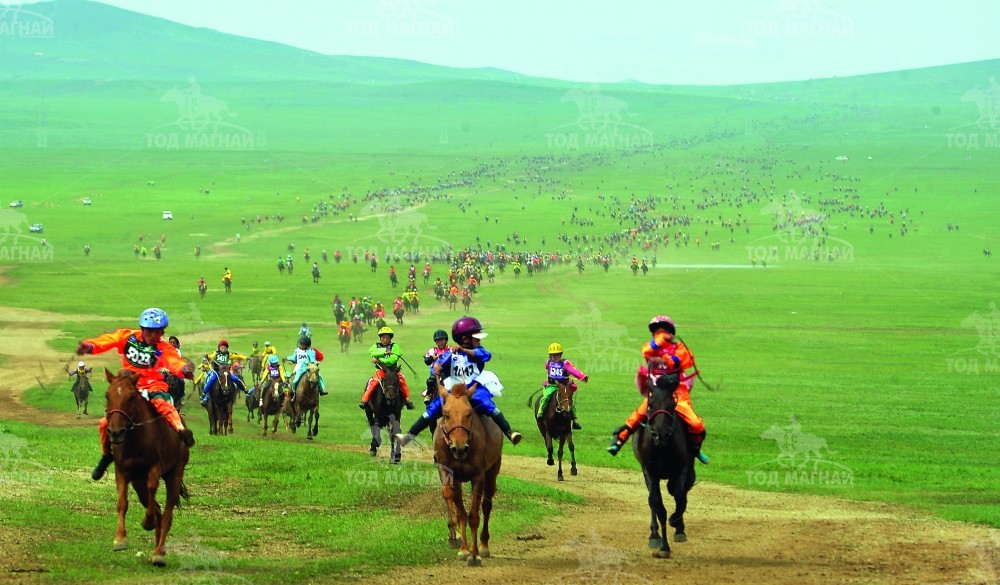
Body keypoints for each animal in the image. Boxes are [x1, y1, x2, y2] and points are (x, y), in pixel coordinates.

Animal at [101, 368, 190, 566]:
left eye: (131, 397)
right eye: (107, 395)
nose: (116, 432)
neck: (135, 440)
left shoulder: (154, 468)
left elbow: (152, 493)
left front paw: (147, 522)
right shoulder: (122, 471)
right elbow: (122, 503)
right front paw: (119, 540)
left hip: (175, 474)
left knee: (166, 514)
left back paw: (159, 553)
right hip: (137, 481)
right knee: (156, 509)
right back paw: (158, 550)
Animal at [433, 381, 503, 566]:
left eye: (469, 413)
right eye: (446, 414)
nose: (460, 448)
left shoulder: (478, 477)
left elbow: (474, 516)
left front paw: (474, 554)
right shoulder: (450, 473)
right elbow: (460, 513)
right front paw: (462, 548)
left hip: (492, 472)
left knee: (486, 506)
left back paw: (483, 546)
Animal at [632, 371, 695, 558]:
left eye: (672, 404)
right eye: (651, 405)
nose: (661, 435)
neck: (663, 448)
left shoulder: (682, 467)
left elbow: (680, 496)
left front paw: (677, 523)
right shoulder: (650, 471)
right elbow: (657, 503)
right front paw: (663, 546)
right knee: (652, 500)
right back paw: (654, 534)